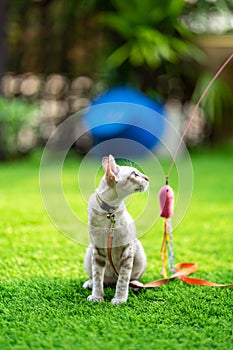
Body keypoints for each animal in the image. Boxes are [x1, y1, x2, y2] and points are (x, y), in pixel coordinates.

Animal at [83, 154, 148, 304]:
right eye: (134, 174)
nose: (147, 178)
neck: (110, 211)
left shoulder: (127, 249)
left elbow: (123, 279)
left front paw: (119, 299)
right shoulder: (98, 249)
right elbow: (98, 276)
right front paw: (97, 296)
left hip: (139, 253)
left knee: (129, 278)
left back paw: (136, 286)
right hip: (89, 252)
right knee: (104, 280)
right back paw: (90, 283)